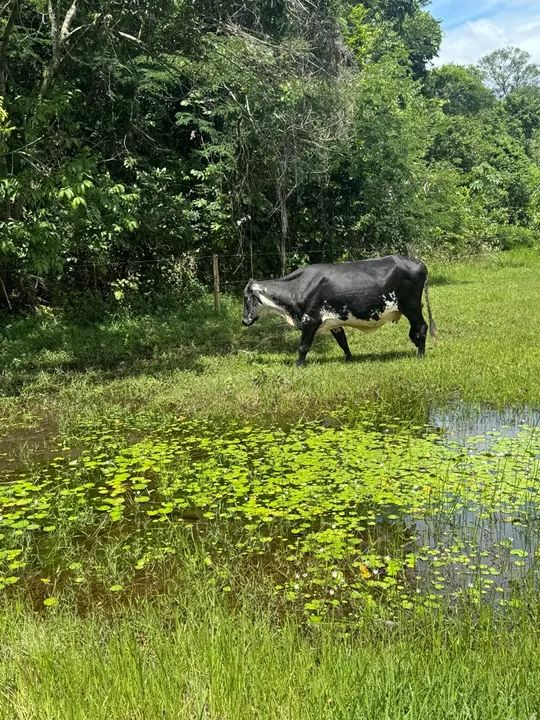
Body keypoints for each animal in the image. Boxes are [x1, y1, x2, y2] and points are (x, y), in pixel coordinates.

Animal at [242, 254, 436, 367]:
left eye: (245, 298)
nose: (243, 321)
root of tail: (419, 263)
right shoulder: (333, 321)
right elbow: (343, 341)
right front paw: (349, 359)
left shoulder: (310, 319)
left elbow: (303, 346)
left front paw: (299, 365)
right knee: (414, 331)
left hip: (411, 306)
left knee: (421, 327)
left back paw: (420, 355)